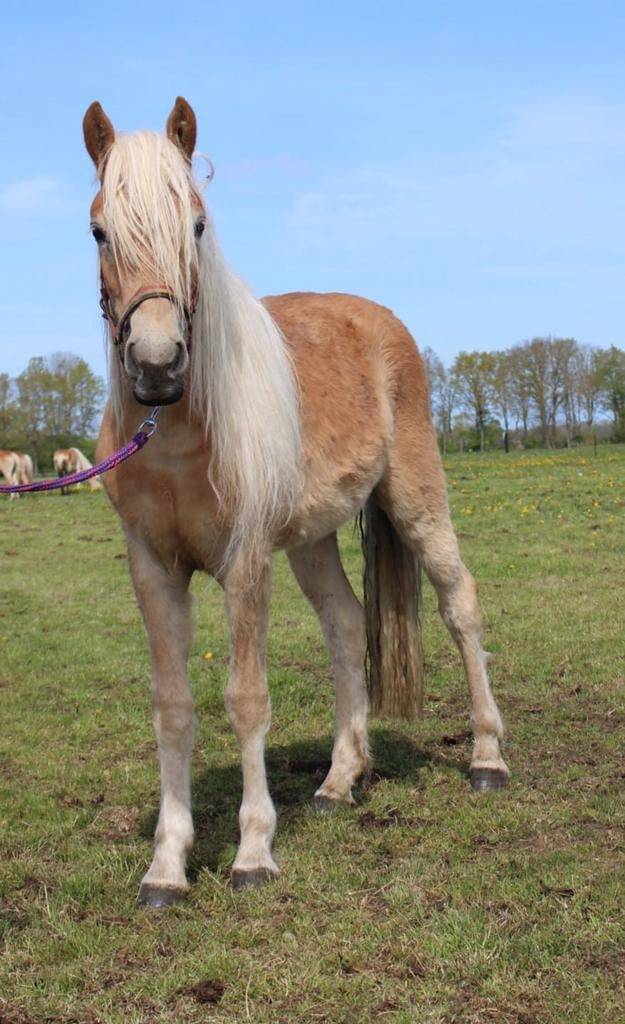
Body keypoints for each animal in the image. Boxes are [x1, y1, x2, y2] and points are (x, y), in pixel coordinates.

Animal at [83, 97, 509, 908]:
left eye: (197, 225)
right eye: (99, 230)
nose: (157, 367)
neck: (181, 430)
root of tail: (381, 321)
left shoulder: (245, 561)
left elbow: (246, 698)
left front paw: (253, 852)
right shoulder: (152, 567)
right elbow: (173, 708)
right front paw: (167, 865)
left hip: (415, 498)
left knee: (460, 604)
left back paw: (486, 759)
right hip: (312, 539)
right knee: (346, 626)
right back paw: (340, 782)